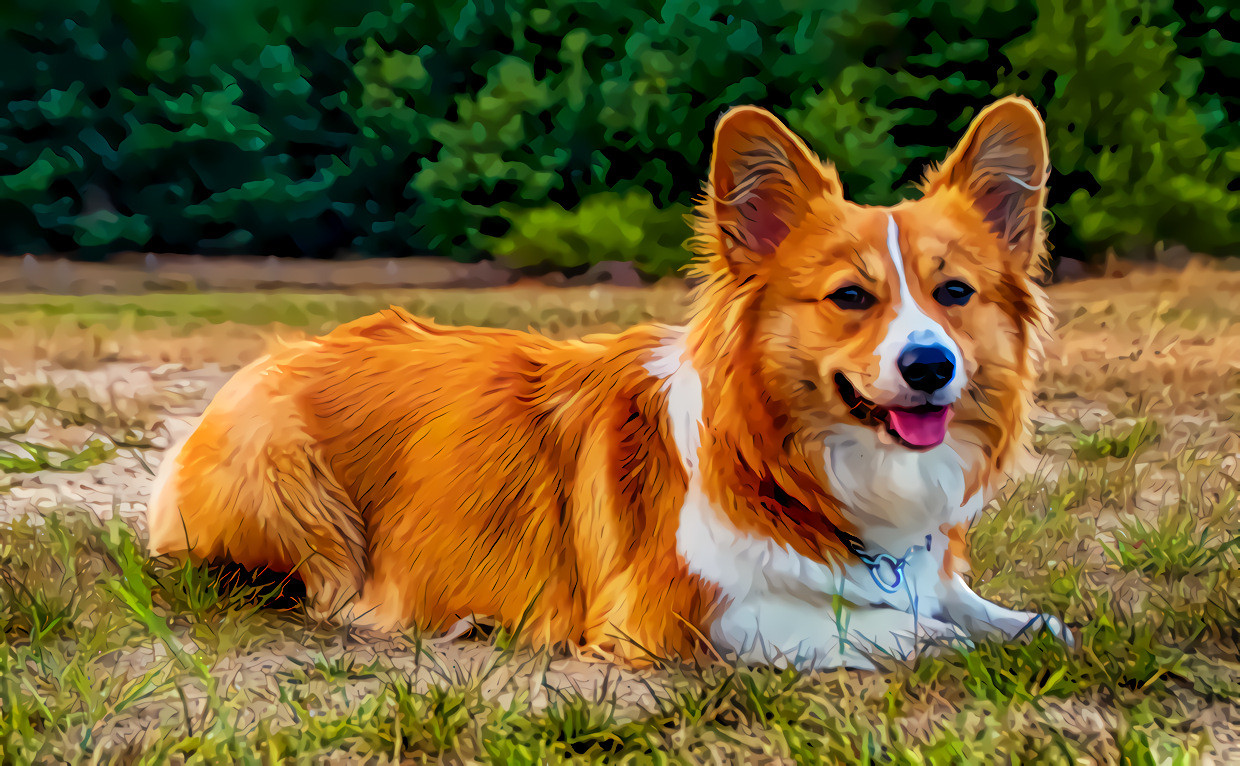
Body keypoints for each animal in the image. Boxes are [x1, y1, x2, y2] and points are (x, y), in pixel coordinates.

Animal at [147, 96, 1076, 669]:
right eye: (851, 297)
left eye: (954, 293)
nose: (930, 366)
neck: (801, 466)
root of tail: (273, 355)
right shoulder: (681, 612)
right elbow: (891, 624)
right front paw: (938, 635)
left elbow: (980, 607)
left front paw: (1022, 625)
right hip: (291, 491)